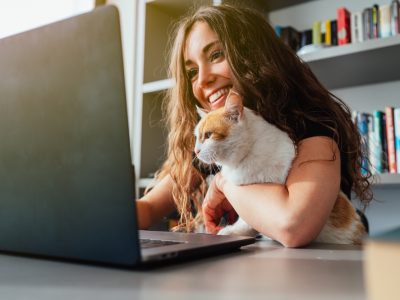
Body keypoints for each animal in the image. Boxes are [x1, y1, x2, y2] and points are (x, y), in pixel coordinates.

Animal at [195, 91, 368, 244]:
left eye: (208, 135)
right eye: (197, 137)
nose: (196, 151)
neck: (249, 150)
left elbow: (248, 221)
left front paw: (231, 231)